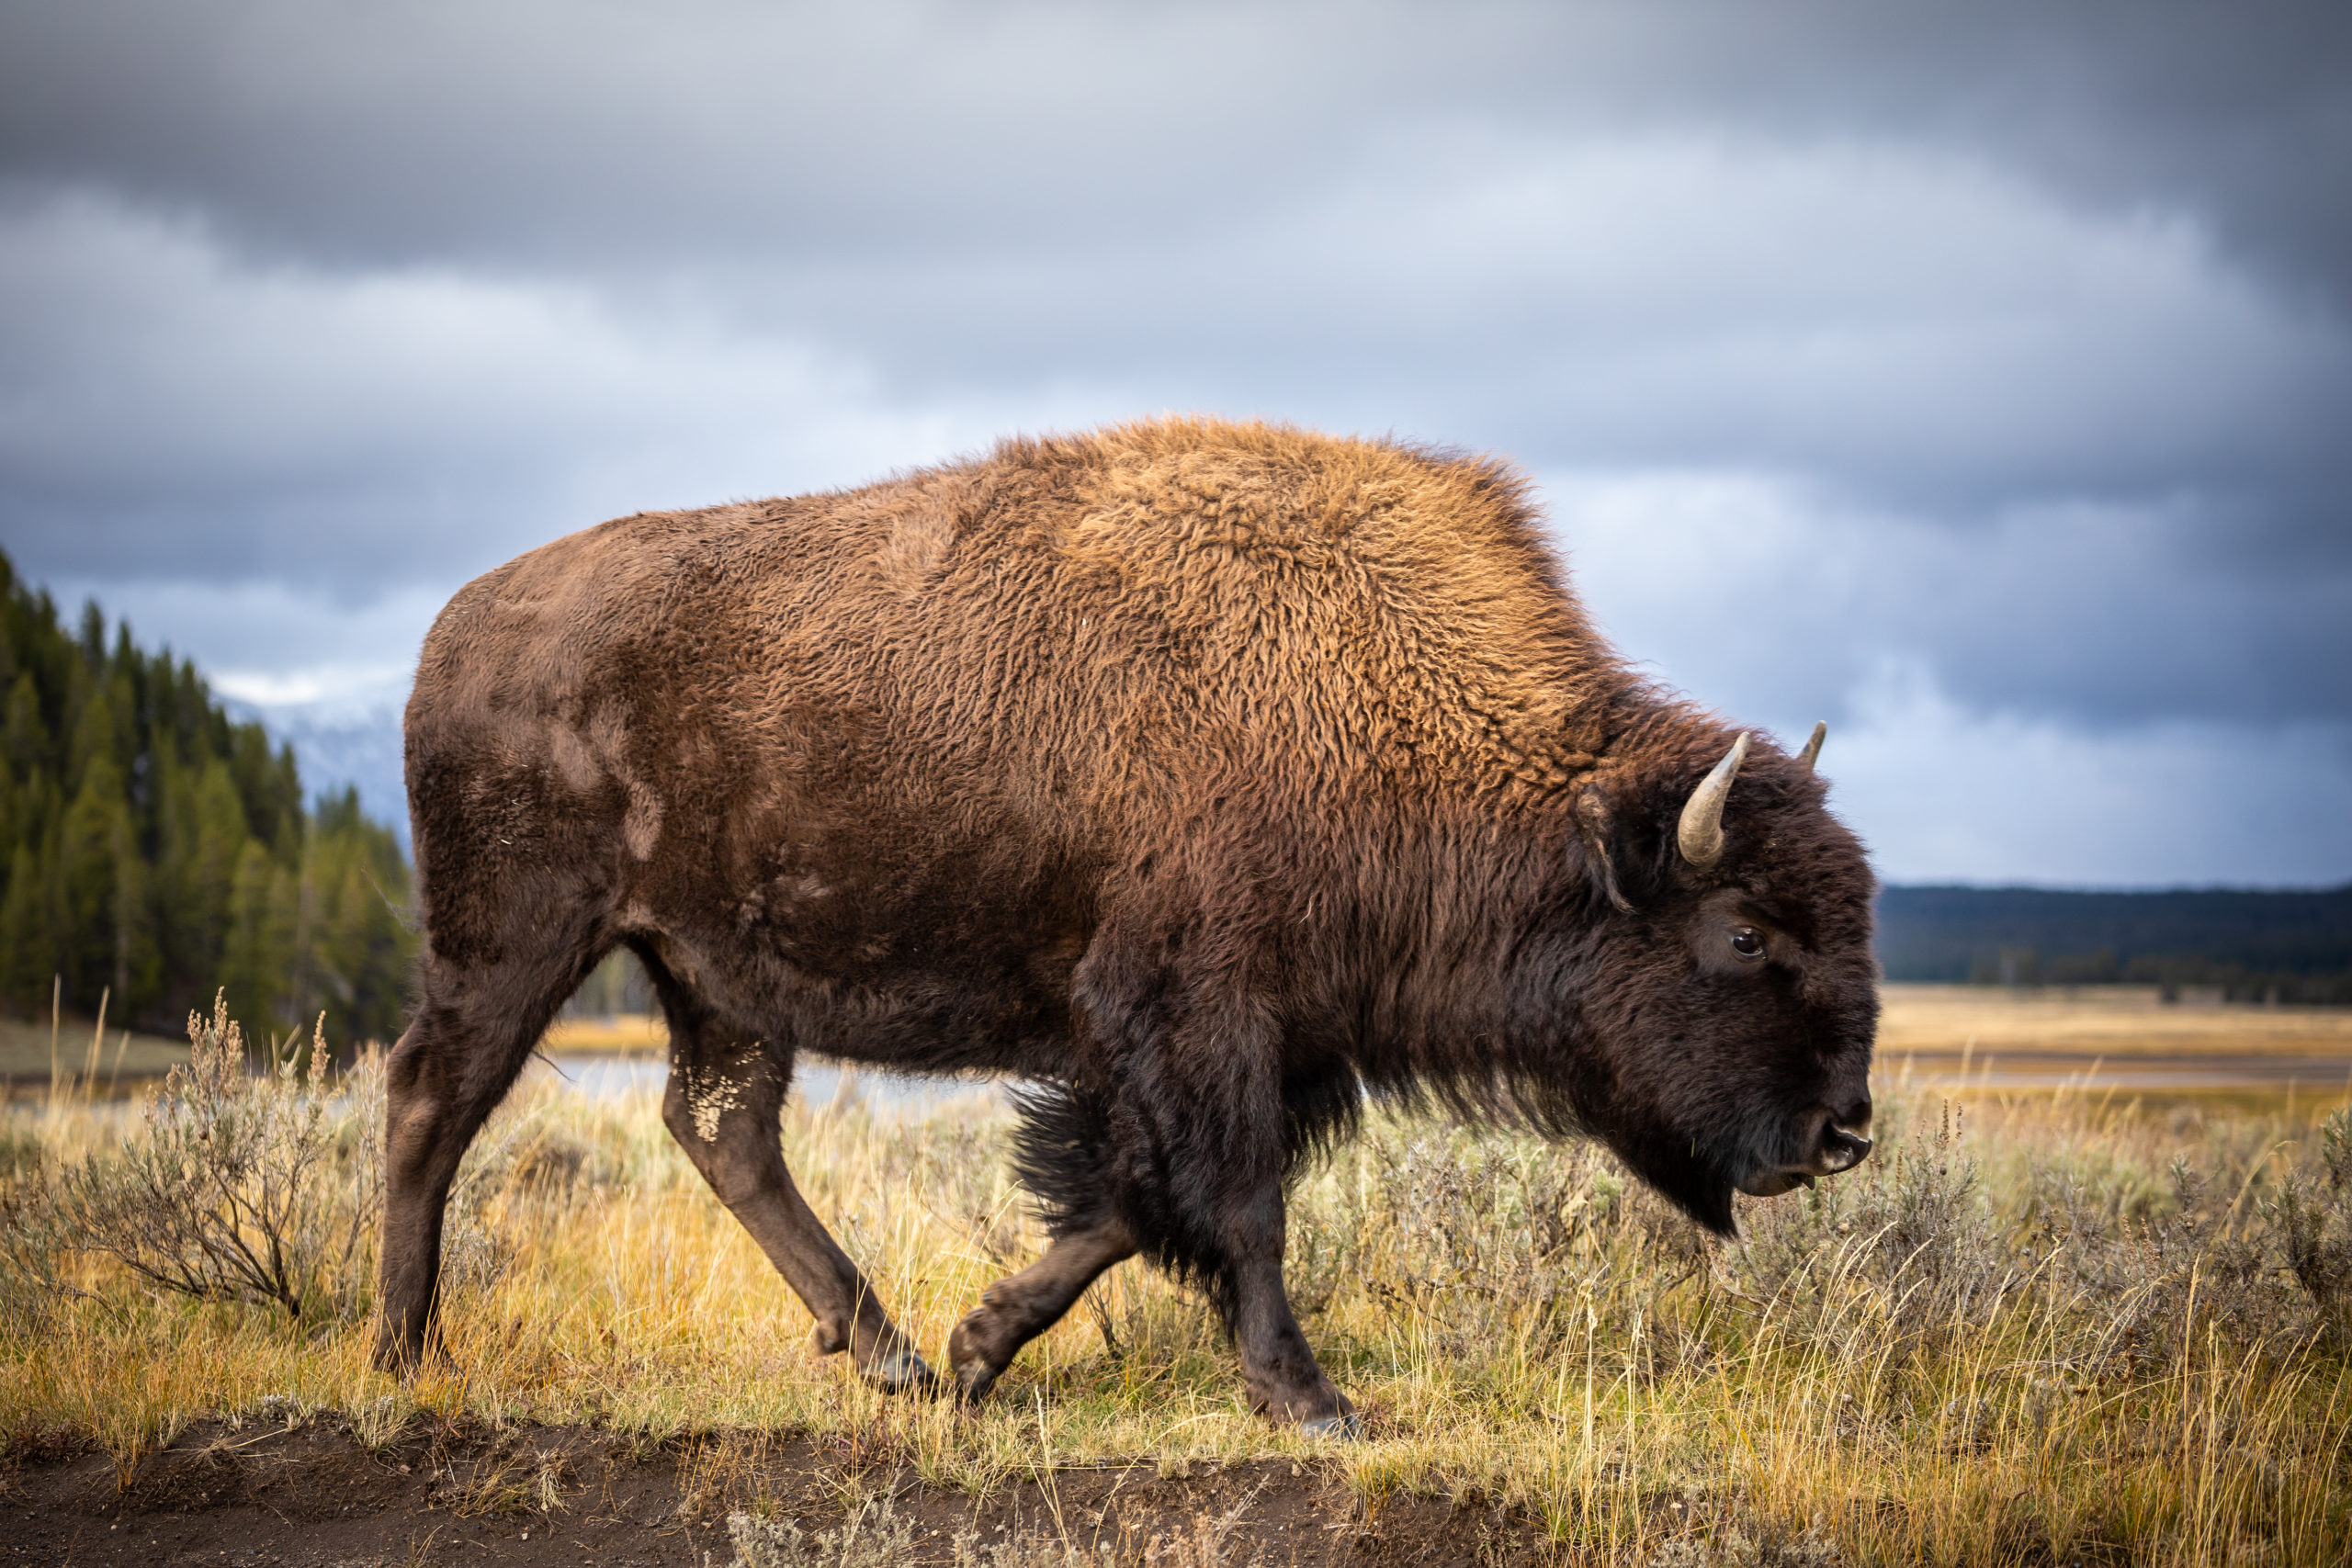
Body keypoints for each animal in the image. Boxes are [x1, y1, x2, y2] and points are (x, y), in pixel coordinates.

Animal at [376, 413, 1882, 1438]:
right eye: (1745, 935)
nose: (1843, 1132)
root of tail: (455, 628)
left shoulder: (1254, 1040)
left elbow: (1131, 1200)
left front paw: (976, 1349)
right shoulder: (1198, 1014)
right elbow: (1234, 1204)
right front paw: (1312, 1401)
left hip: (711, 976)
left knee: (721, 1129)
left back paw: (888, 1355)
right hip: (514, 938)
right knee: (432, 1102)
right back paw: (406, 1351)